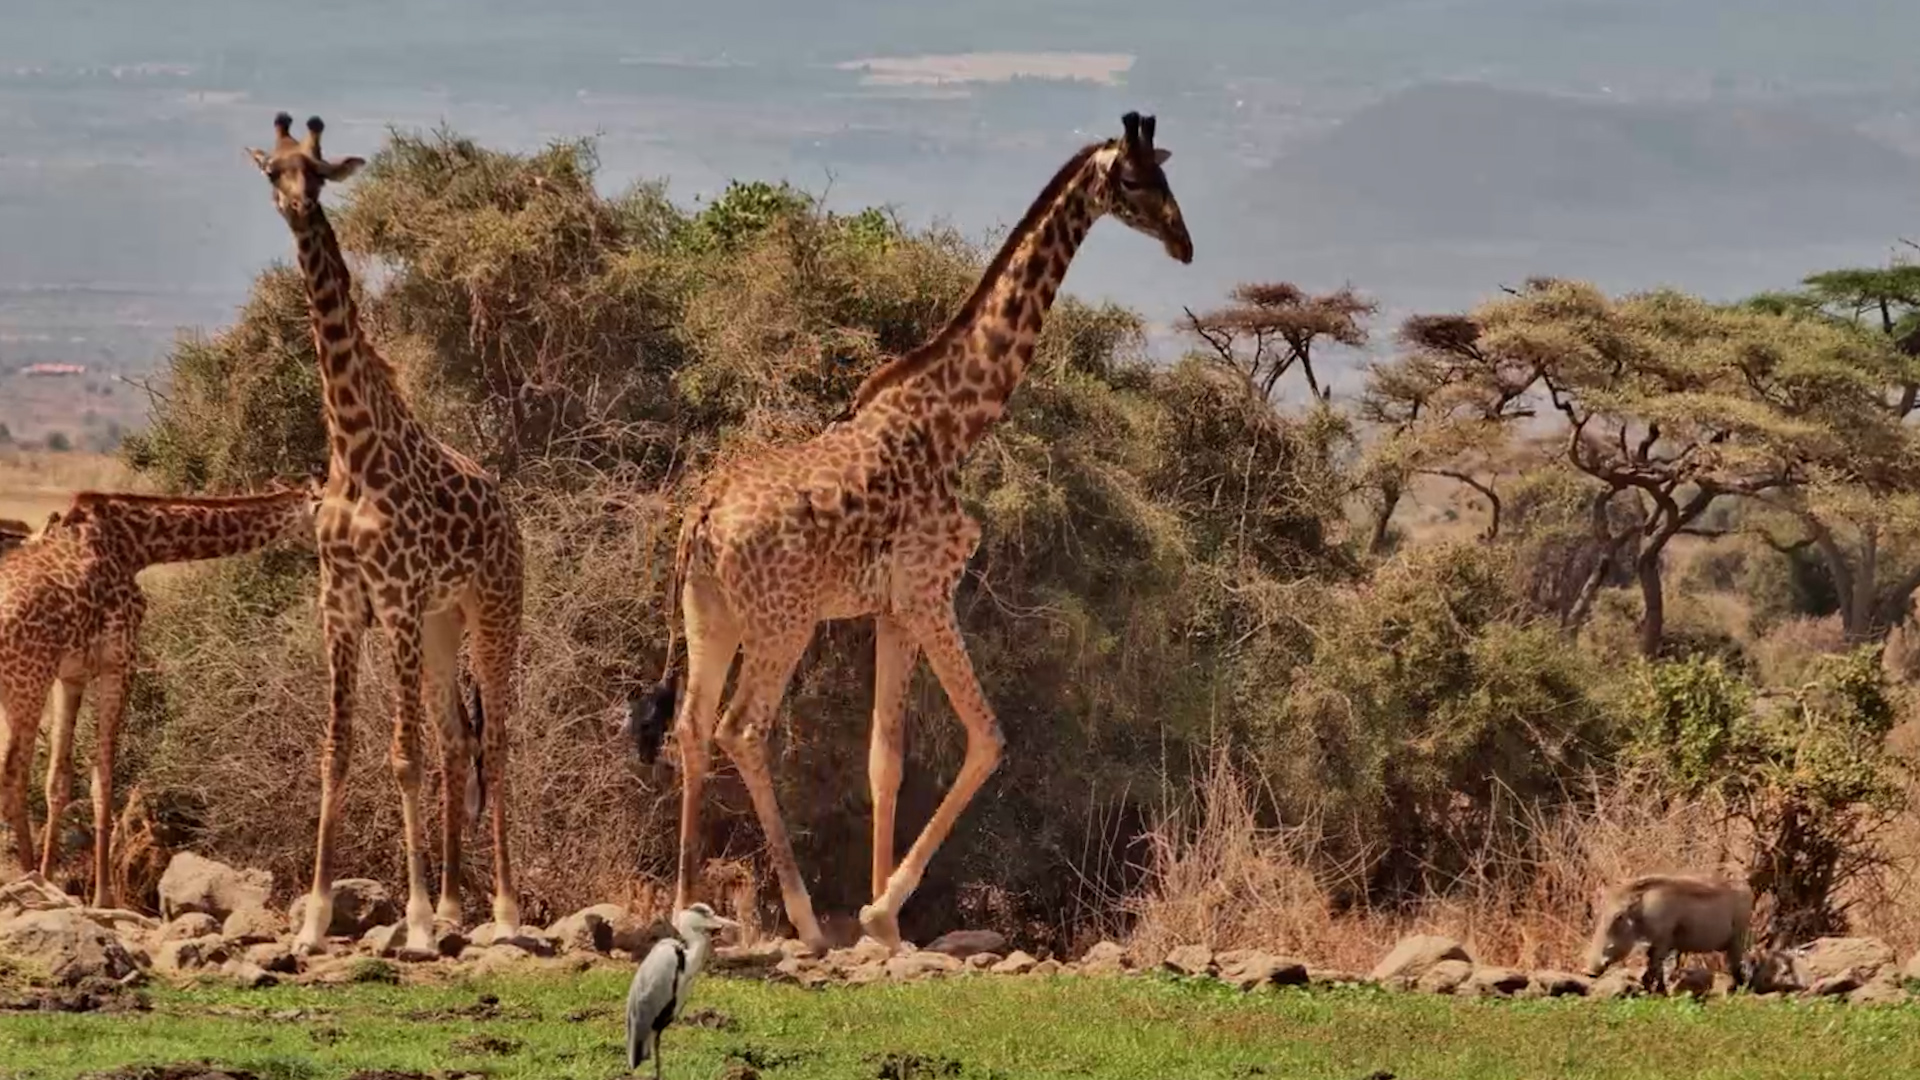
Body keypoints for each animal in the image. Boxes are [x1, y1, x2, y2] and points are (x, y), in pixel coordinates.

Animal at [0, 482, 320, 905]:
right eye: (327, 510)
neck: (138, 545)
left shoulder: (70, 674)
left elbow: (59, 779)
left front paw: (53, 877)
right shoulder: (119, 661)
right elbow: (103, 780)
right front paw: (102, 898)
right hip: (25, 682)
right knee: (12, 778)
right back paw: (26, 879)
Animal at [248, 113, 526, 954]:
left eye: (318, 172)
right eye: (272, 170)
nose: (298, 207)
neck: (352, 444)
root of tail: (508, 508)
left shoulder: (396, 599)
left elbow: (401, 757)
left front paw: (416, 922)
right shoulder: (340, 605)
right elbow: (336, 752)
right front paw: (312, 922)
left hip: (492, 610)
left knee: (494, 739)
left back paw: (502, 911)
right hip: (439, 626)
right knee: (457, 739)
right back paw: (459, 904)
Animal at [630, 112, 1192, 953]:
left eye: (1164, 173)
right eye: (1133, 178)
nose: (1182, 242)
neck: (953, 422)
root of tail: (701, 520)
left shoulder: (890, 610)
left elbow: (884, 760)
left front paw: (886, 927)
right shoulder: (931, 591)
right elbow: (988, 736)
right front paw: (877, 910)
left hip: (712, 613)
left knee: (694, 726)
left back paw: (687, 904)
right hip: (783, 620)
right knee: (742, 728)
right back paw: (804, 918)